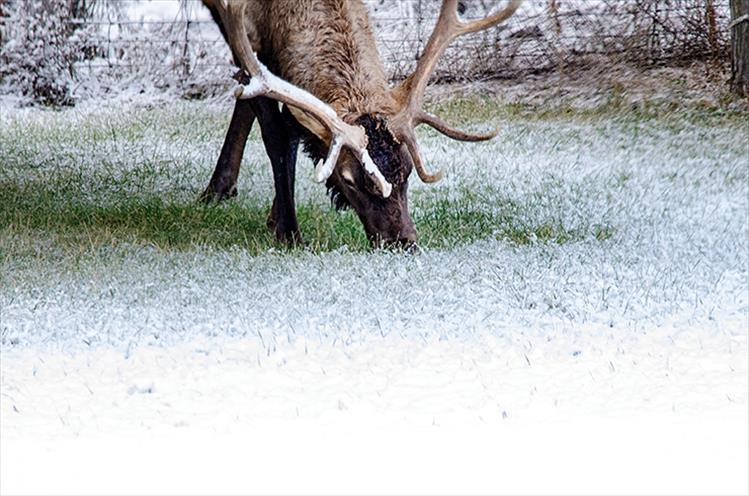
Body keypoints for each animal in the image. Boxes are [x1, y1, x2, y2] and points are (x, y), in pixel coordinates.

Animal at [202, 0, 524, 247]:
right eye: (348, 179)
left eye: (407, 171)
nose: (403, 241)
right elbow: (276, 132)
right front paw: (288, 232)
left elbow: (289, 123)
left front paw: (274, 217)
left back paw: (221, 187)